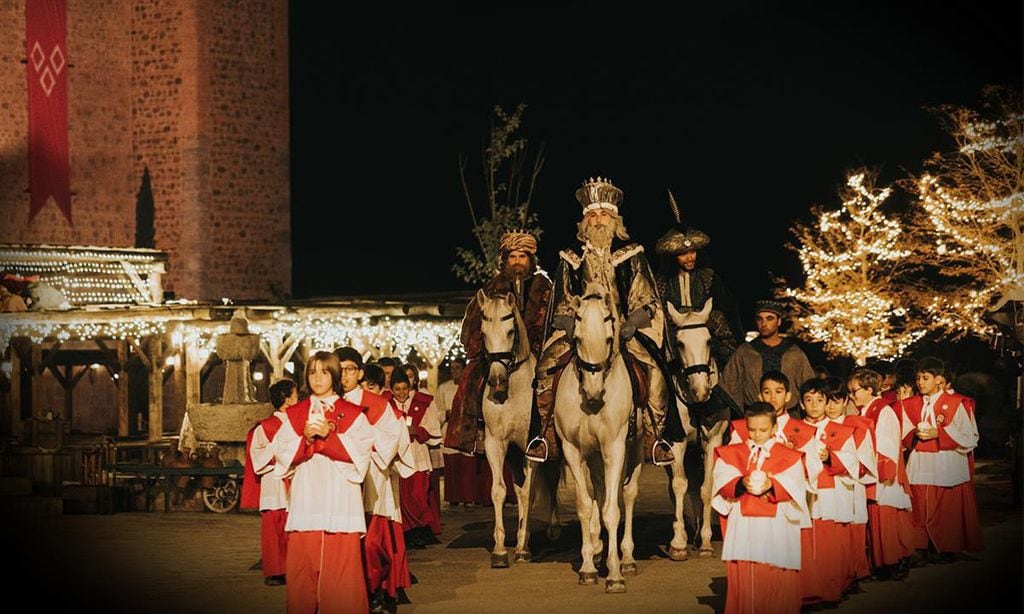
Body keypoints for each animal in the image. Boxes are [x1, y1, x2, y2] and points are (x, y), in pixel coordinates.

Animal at [477, 290, 565, 568]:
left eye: (510, 332)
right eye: (483, 332)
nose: (496, 380)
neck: (512, 393)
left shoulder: (532, 447)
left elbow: (528, 493)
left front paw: (523, 548)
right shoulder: (495, 444)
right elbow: (499, 491)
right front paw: (500, 550)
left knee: (551, 480)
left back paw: (554, 528)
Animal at [552, 282, 638, 589]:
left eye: (610, 338)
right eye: (576, 339)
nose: (592, 393)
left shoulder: (615, 447)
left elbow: (612, 510)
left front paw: (614, 573)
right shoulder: (574, 450)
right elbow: (585, 506)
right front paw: (589, 565)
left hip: (634, 450)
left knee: (627, 495)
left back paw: (627, 559)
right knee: (600, 493)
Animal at [663, 298, 729, 560]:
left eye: (709, 340)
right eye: (680, 343)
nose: (701, 390)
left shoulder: (713, 442)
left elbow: (706, 488)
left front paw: (706, 542)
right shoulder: (676, 443)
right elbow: (680, 485)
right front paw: (678, 542)